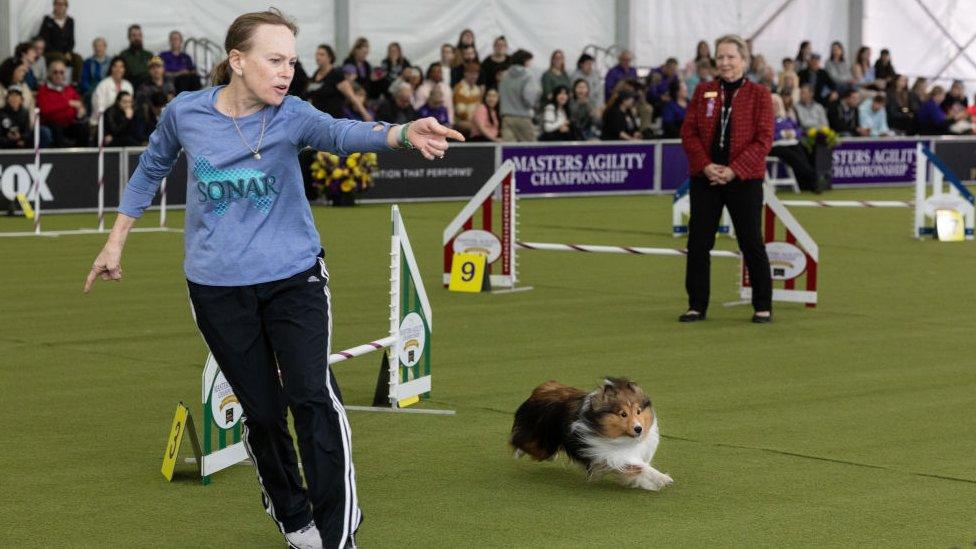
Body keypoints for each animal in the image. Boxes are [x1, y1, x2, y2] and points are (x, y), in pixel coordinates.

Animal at [510, 376, 672, 488]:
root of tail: (542, 389)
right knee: (520, 441)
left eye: (638, 411)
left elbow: (637, 469)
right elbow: (640, 467)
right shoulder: (610, 455)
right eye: (623, 414)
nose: (639, 429)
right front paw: (663, 478)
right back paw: (519, 452)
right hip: (542, 442)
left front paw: (653, 481)